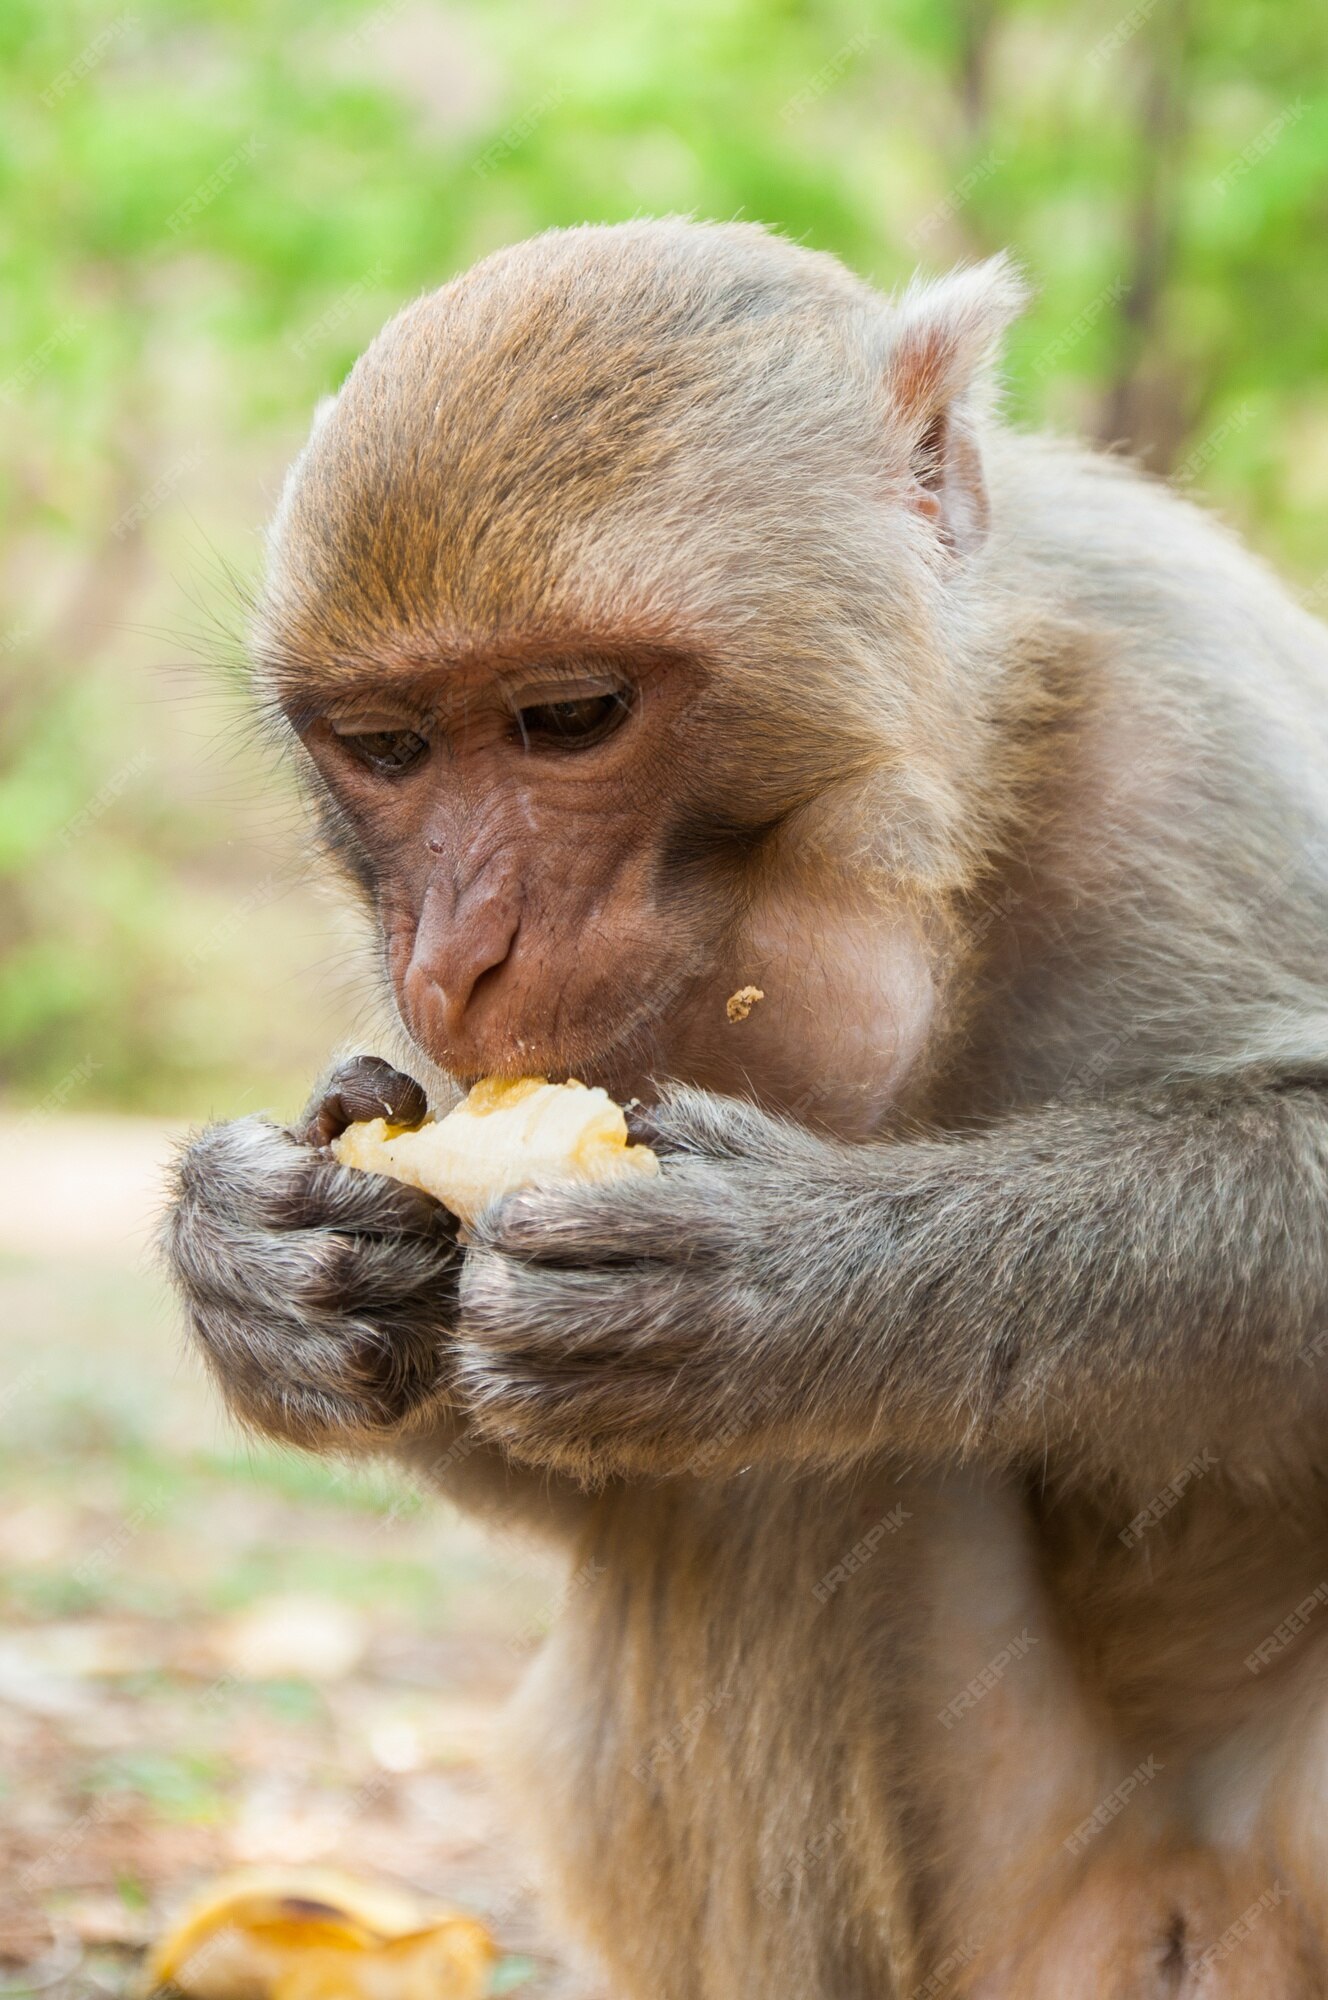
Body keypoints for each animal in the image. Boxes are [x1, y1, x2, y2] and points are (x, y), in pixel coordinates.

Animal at [163, 223, 1328, 2000]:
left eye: (569, 718)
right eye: (385, 747)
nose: (455, 958)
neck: (945, 813)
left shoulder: (1201, 710)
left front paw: (793, 1281)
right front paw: (261, 1260)